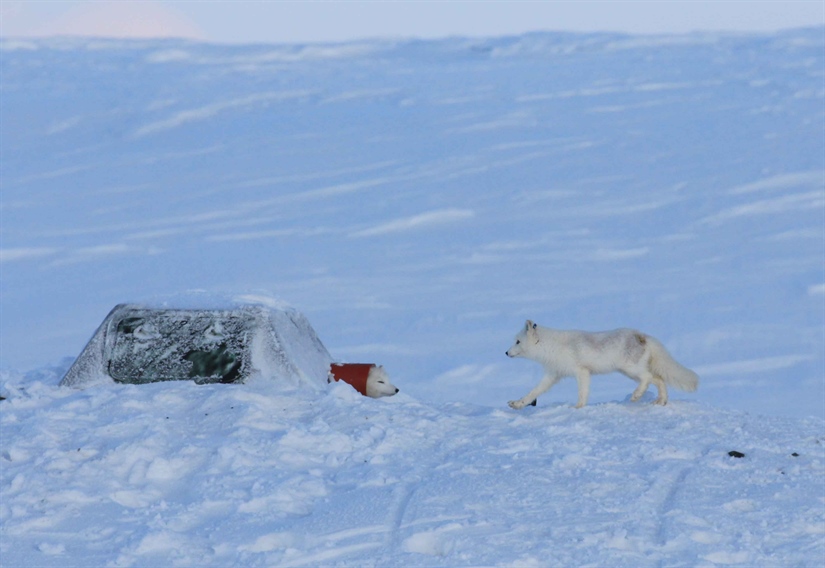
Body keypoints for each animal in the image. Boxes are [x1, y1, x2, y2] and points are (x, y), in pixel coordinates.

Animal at [506, 320, 700, 408]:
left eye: (517, 341)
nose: (506, 353)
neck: (551, 346)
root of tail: (642, 335)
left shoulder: (581, 371)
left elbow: (582, 393)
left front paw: (578, 407)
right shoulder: (552, 375)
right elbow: (533, 392)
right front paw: (518, 404)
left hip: (630, 369)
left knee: (647, 378)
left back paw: (636, 396)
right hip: (629, 371)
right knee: (659, 379)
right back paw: (661, 401)